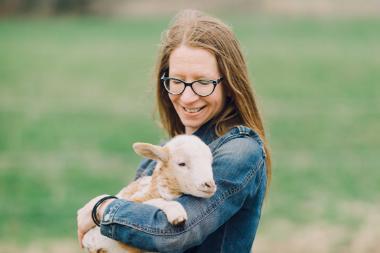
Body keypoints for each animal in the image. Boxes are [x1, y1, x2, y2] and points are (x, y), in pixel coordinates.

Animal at [81, 134, 215, 253]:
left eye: (210, 162)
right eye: (181, 163)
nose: (210, 185)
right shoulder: (135, 199)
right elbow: (156, 201)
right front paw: (178, 216)